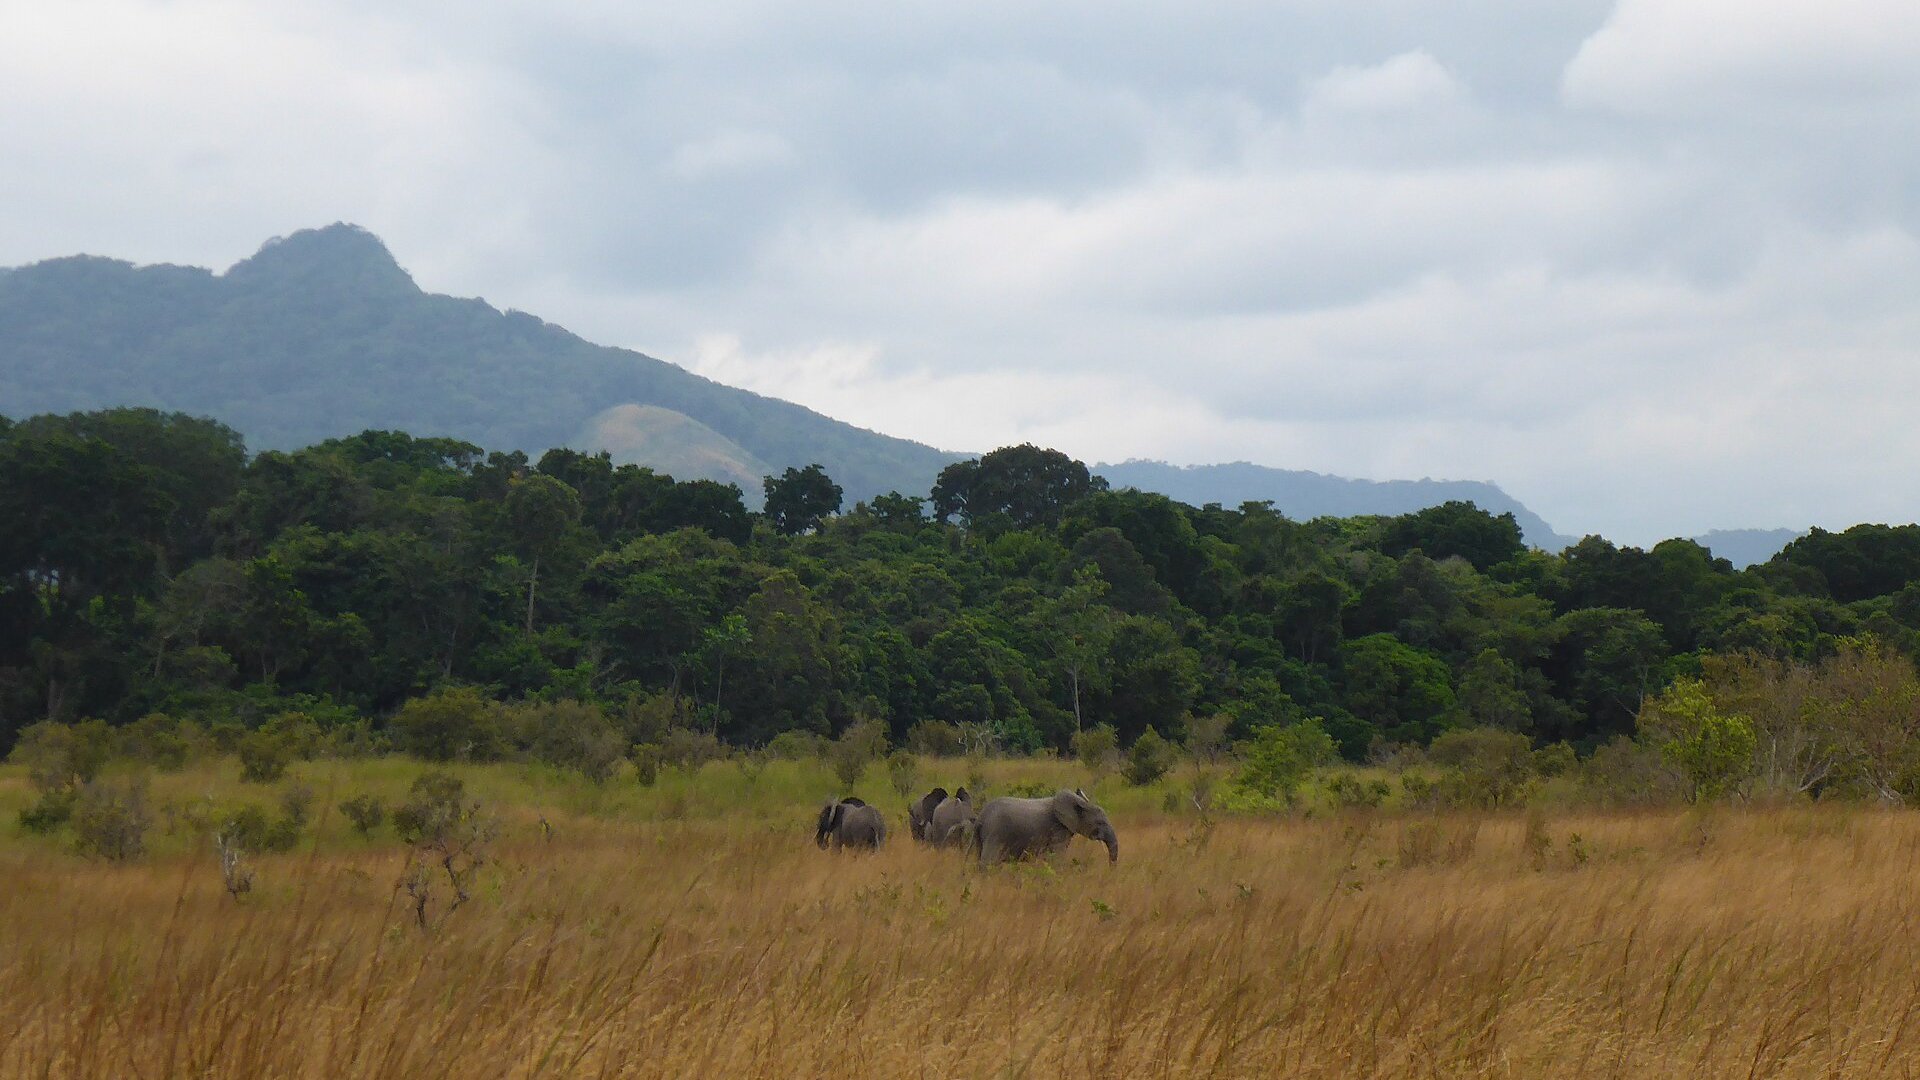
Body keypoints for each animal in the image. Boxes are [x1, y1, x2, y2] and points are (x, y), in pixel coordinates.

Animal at [973, 789, 1118, 865]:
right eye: (1100, 823)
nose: (1110, 870)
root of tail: (981, 816)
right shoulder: (1058, 829)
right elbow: (1057, 857)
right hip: (995, 833)